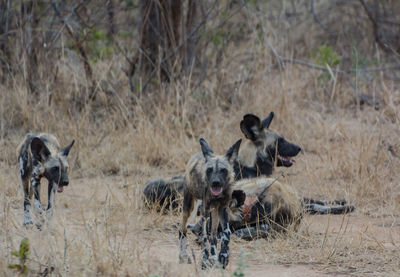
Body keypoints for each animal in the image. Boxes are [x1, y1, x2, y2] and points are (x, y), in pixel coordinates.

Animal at [179, 137, 241, 268]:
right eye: (209, 170)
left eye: (223, 170)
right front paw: (205, 260)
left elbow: (226, 233)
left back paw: (213, 257)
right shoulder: (205, 211)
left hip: (215, 212)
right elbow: (204, 237)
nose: (215, 182)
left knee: (213, 235)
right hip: (189, 208)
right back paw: (183, 256)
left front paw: (223, 256)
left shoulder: (223, 208)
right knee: (182, 230)